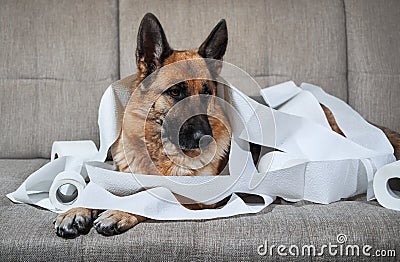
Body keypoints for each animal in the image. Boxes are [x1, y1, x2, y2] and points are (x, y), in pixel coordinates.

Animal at [54, 13, 400, 238]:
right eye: (176, 92)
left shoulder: (200, 195)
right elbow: (97, 185)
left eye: (208, 91)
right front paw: (76, 209)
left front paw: (119, 211)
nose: (205, 138)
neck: (160, 150)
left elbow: (157, 193)